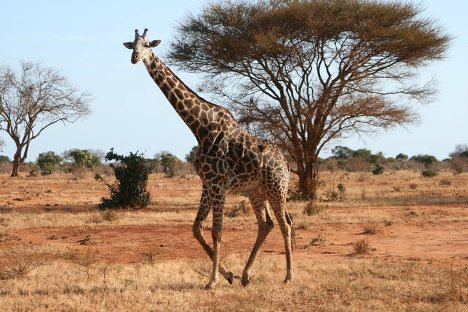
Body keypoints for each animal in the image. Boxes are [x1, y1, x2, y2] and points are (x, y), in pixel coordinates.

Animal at [124, 29, 292, 290]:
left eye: (148, 45)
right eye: (132, 45)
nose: (134, 58)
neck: (200, 127)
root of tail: (285, 163)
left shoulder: (218, 184)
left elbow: (217, 231)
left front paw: (212, 281)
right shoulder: (206, 183)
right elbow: (196, 228)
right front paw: (228, 274)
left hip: (277, 188)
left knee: (285, 224)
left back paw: (288, 276)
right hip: (257, 191)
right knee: (267, 224)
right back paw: (246, 275)